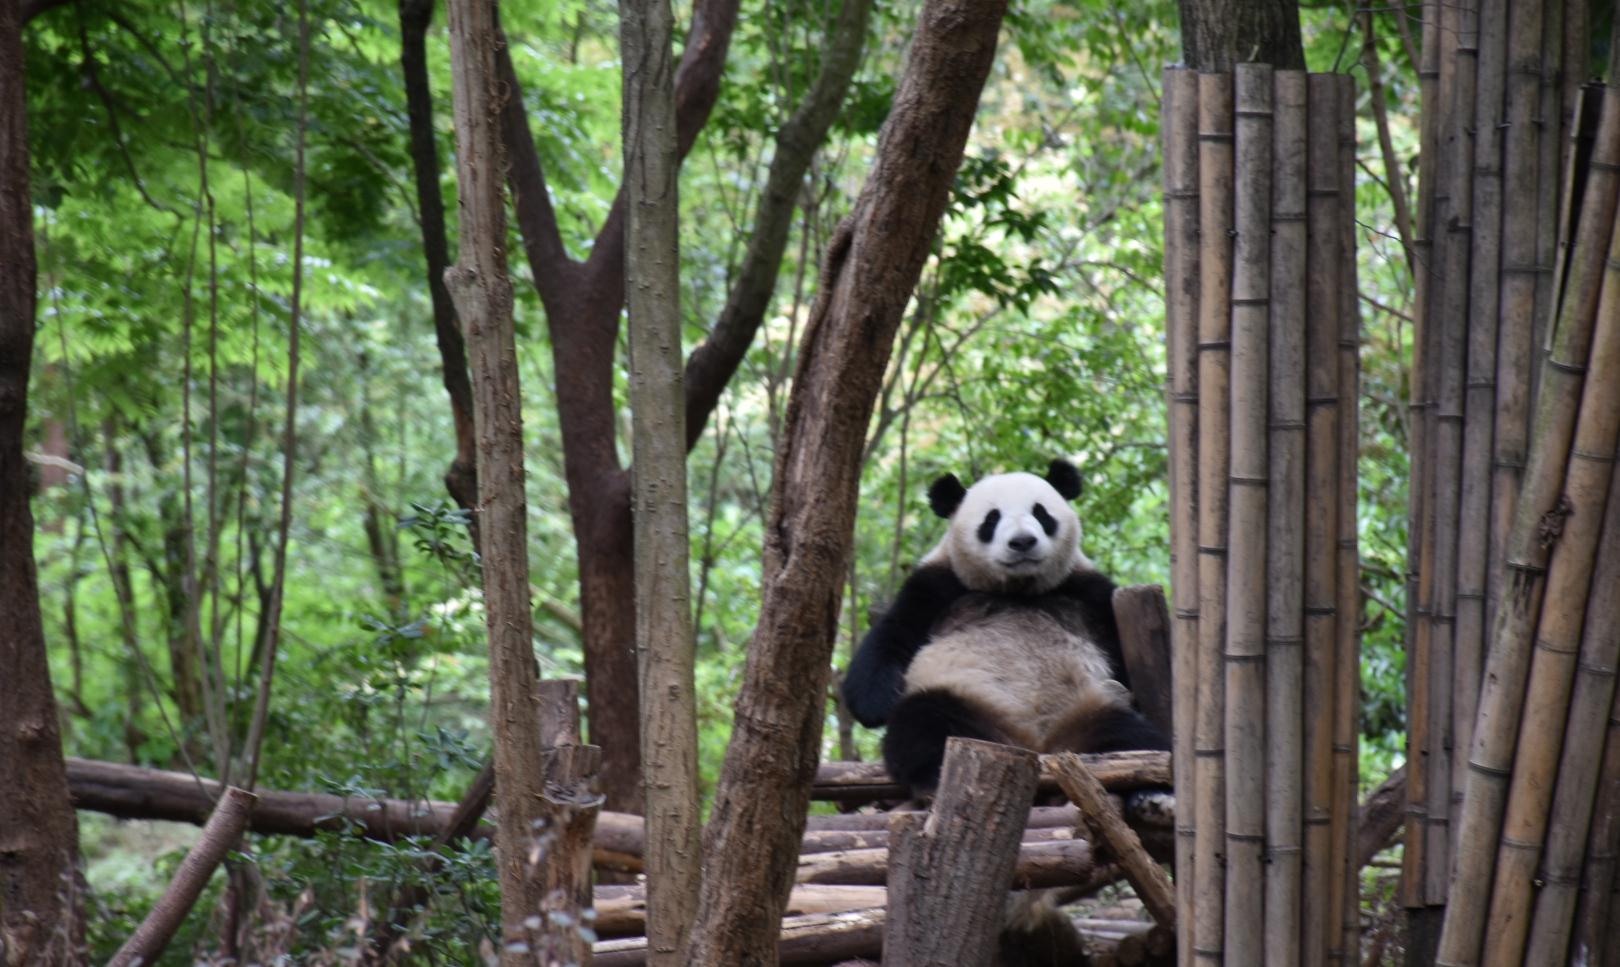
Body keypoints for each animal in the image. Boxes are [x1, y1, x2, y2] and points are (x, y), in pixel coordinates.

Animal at [848, 456, 1166, 796]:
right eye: (991, 519)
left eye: (1041, 513)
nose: (1023, 541)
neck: (1017, 589)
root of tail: (1039, 747)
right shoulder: (936, 589)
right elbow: (890, 640)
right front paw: (879, 702)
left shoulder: (1087, 592)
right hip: (967, 702)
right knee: (923, 723)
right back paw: (934, 776)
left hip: (1089, 711)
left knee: (1135, 739)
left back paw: (1147, 790)